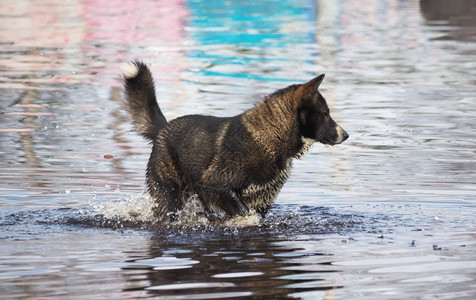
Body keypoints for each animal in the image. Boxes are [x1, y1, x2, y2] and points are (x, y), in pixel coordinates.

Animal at [121, 61, 348, 220]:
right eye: (326, 114)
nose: (346, 135)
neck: (270, 136)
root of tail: (163, 128)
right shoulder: (215, 185)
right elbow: (243, 212)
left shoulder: (261, 201)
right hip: (169, 197)